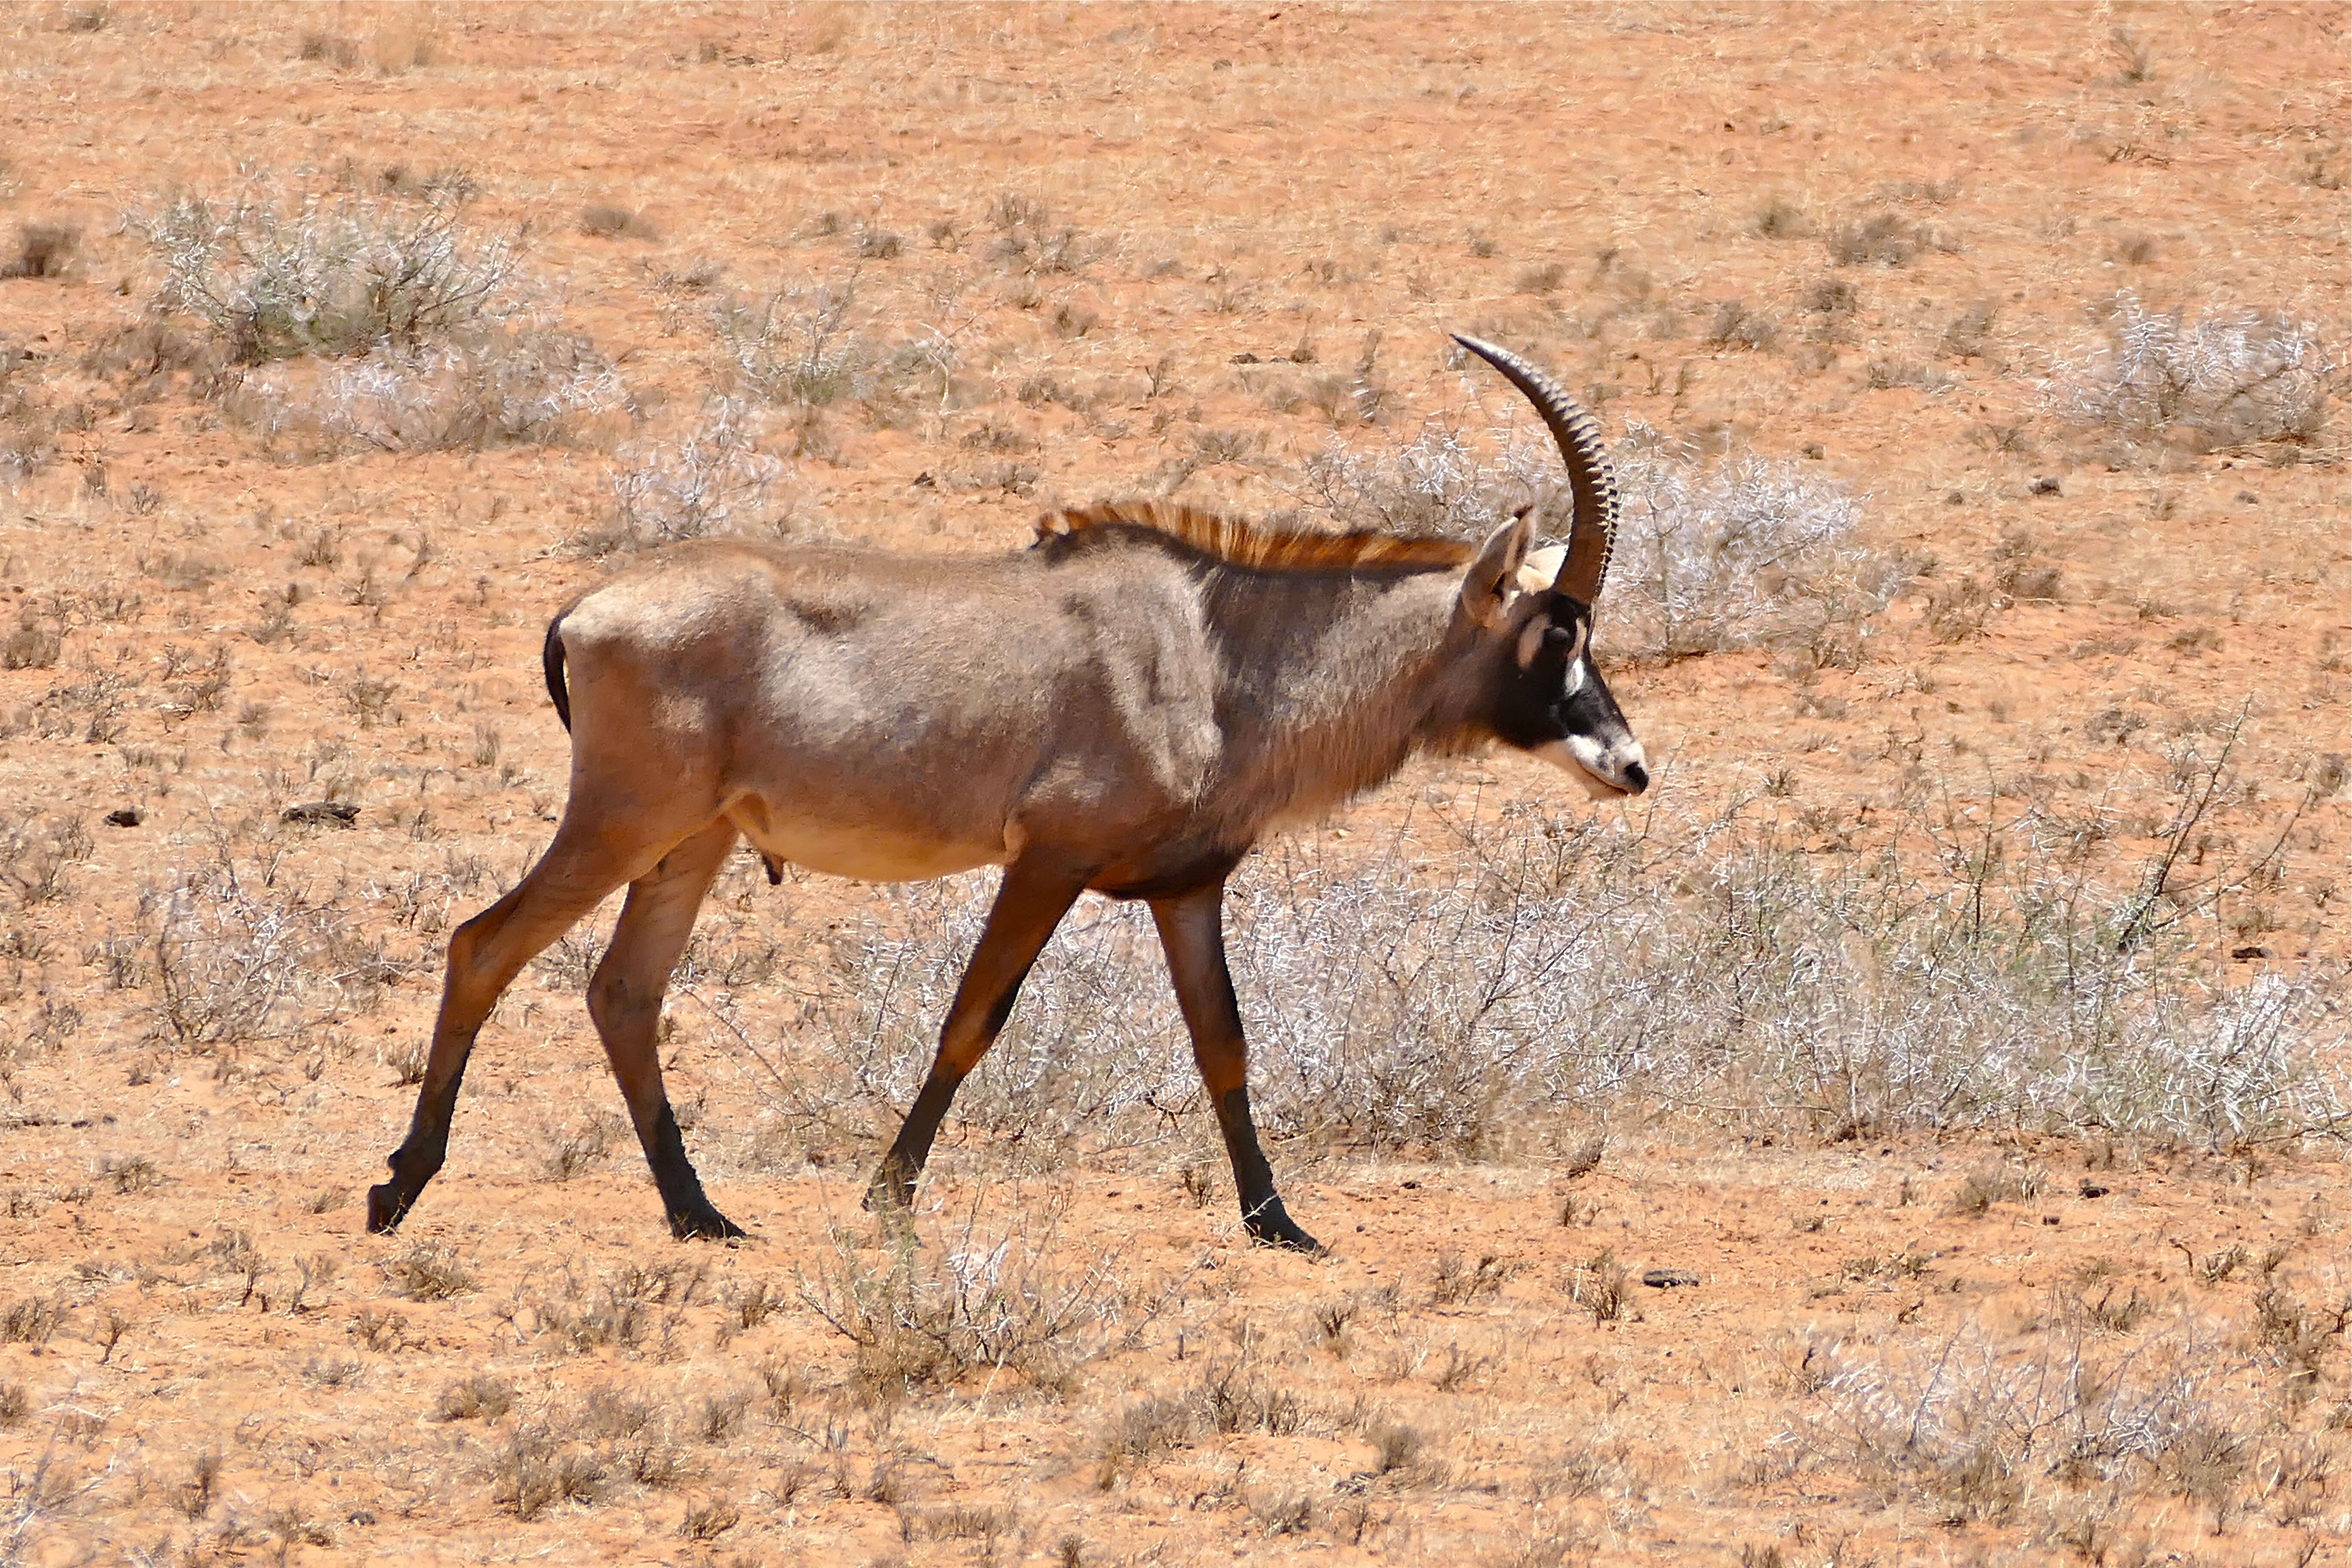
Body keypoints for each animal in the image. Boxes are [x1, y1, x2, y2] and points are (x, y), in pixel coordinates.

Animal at [371, 338, 1656, 1260]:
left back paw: (701, 1216)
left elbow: (1223, 1044)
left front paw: (1279, 1223)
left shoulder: (1185, 889)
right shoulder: (1047, 862)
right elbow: (971, 1019)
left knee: (624, 995)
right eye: (1556, 631)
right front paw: (888, 1197)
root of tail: (586, 611)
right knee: (484, 945)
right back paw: (401, 1186)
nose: (1629, 764)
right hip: (622, 822)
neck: (1217, 649)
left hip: (694, 844)